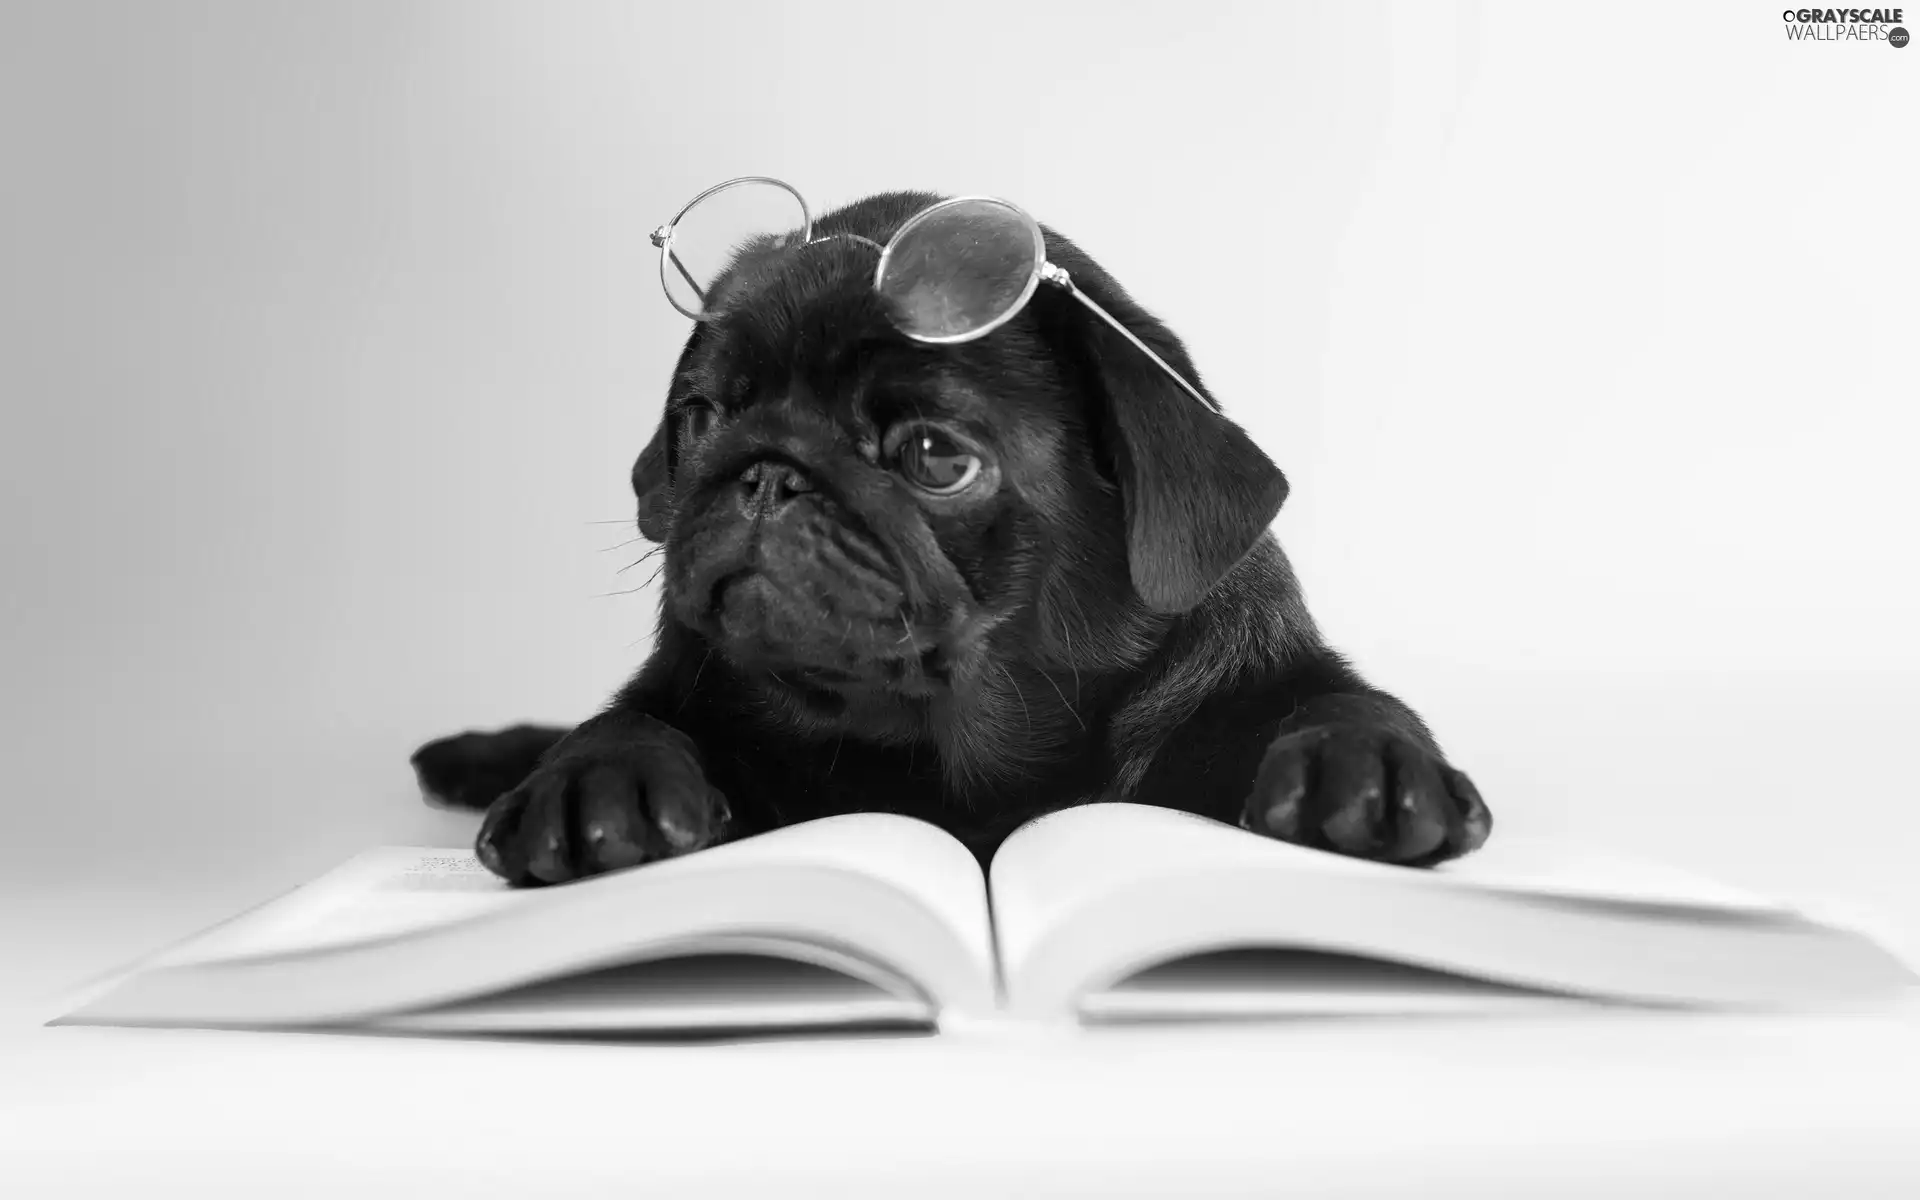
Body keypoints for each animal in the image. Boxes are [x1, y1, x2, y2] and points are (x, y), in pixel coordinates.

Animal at [412, 187, 1489, 879]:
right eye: (703, 417)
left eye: (935, 456)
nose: (768, 471)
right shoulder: (688, 688)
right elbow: (628, 719)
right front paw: (598, 783)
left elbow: (1344, 700)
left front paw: (1367, 767)